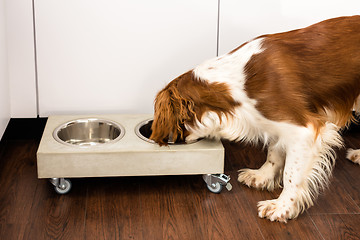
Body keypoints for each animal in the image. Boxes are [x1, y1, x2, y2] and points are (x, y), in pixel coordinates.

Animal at [149, 16, 360, 223]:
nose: (166, 141)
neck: (237, 81)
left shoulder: (303, 130)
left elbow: (291, 174)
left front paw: (282, 207)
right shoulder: (277, 124)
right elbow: (274, 154)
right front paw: (262, 176)